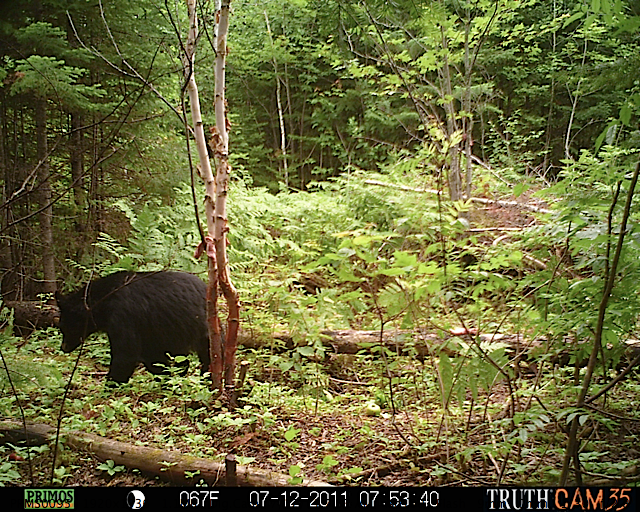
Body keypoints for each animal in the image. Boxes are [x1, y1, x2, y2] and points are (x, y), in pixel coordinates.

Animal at [55, 270, 210, 382]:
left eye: (65, 327)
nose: (64, 348)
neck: (104, 301)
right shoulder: (148, 330)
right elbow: (153, 356)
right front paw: (164, 376)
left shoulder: (124, 317)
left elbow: (126, 353)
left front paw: (111, 383)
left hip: (199, 325)